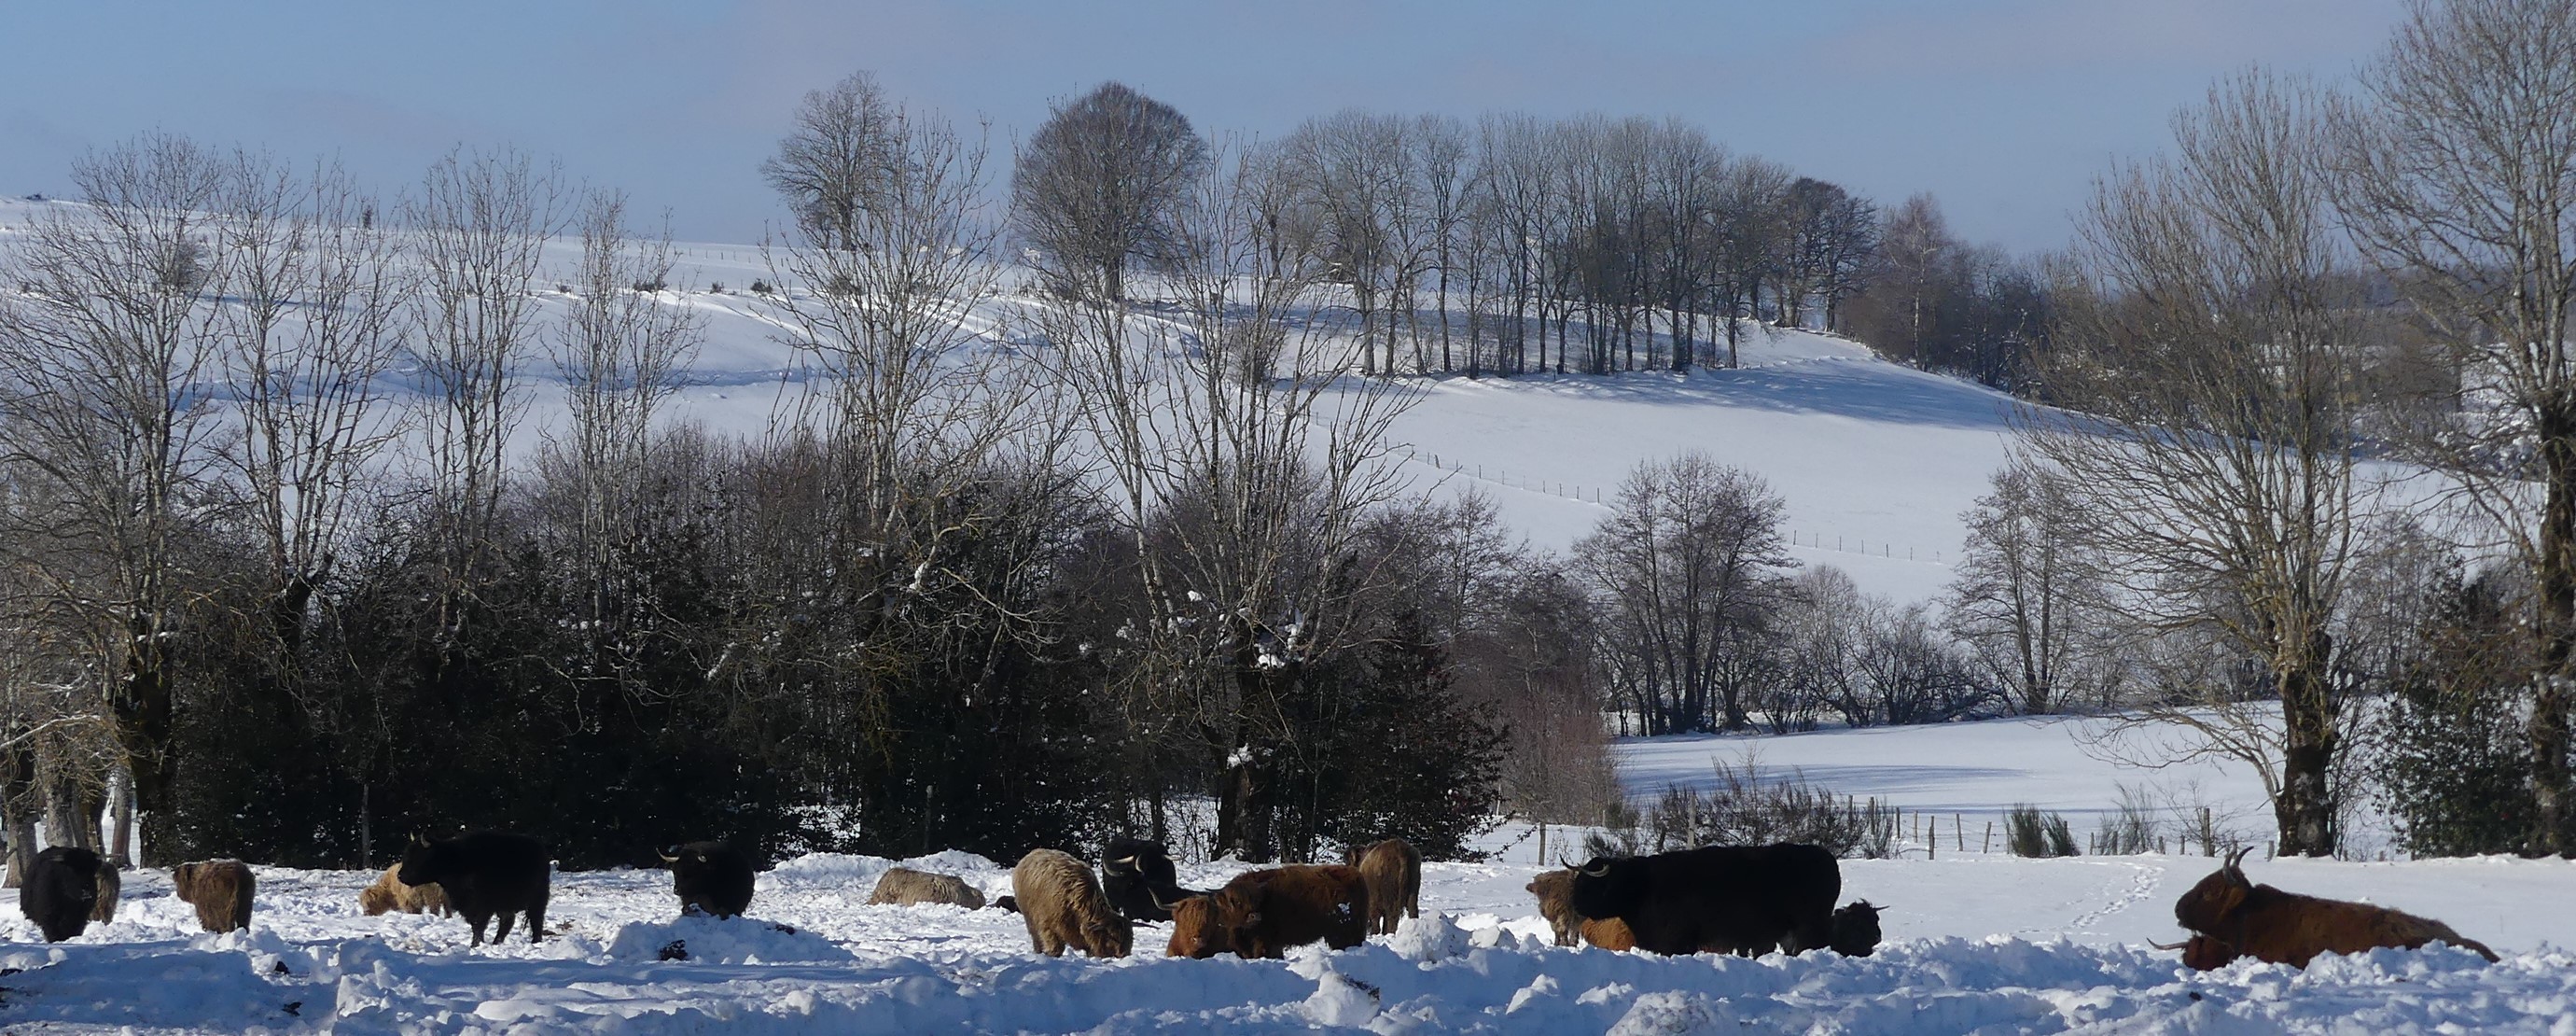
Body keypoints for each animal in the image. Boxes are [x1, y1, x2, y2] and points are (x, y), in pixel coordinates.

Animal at [397, 834, 549, 948]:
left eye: (417, 856)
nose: (399, 876)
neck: (453, 859)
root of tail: (539, 849)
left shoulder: (482, 907)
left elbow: (478, 926)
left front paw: (475, 945)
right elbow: (476, 926)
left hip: (537, 899)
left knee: (536, 920)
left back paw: (536, 941)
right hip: (506, 904)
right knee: (508, 921)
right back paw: (496, 942)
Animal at [1004, 845, 1128, 959]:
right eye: (1112, 936)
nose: (1123, 954)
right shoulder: (1047, 925)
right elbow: (1055, 946)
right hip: (1030, 919)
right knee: (1036, 938)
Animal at [1200, 861, 1370, 959]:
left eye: (1256, 900)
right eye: (1235, 902)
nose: (1255, 916)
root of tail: (1355, 874)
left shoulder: (1264, 941)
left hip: (1341, 932)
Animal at [1555, 845, 1844, 959]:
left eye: (1591, 886)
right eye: (1577, 884)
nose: (1576, 907)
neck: (1643, 887)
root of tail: (1826, 858)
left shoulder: (1677, 943)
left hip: (1809, 929)